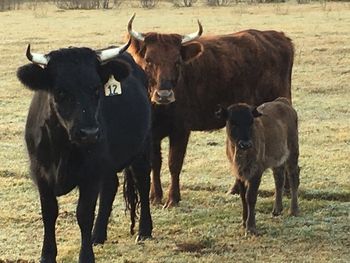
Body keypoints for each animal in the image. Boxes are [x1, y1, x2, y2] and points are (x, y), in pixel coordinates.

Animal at [16, 41, 152, 263]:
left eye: (96, 89)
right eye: (60, 91)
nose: (90, 133)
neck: (62, 147)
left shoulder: (90, 174)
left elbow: (84, 214)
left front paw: (86, 256)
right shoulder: (40, 174)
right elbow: (49, 213)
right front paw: (47, 255)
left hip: (142, 147)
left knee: (143, 182)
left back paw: (144, 231)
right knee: (110, 187)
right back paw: (98, 235)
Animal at [127, 13, 294, 208]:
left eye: (177, 62)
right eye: (149, 60)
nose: (164, 95)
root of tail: (278, 36)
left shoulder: (181, 130)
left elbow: (174, 164)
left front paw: (173, 198)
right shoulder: (152, 133)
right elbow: (155, 163)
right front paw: (155, 196)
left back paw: (286, 188)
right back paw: (236, 189)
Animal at [217, 98, 300, 236]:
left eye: (251, 121)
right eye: (233, 122)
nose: (245, 144)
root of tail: (283, 102)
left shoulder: (256, 172)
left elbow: (250, 197)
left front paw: (251, 227)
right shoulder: (238, 174)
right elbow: (243, 197)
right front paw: (243, 222)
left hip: (293, 153)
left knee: (294, 177)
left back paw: (293, 210)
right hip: (277, 160)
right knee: (279, 179)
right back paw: (277, 209)